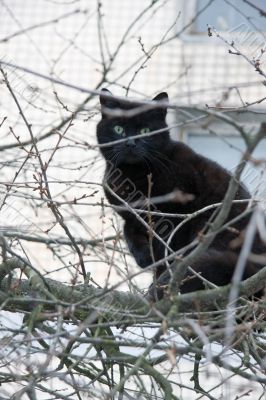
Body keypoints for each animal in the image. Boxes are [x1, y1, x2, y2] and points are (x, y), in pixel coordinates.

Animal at [97, 89, 266, 298]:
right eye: (119, 129)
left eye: (145, 131)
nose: (130, 143)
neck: (133, 174)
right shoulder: (132, 215)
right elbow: (128, 230)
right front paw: (143, 257)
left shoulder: (176, 217)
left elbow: (168, 253)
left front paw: (158, 286)